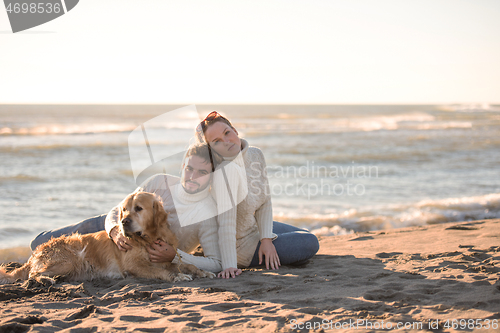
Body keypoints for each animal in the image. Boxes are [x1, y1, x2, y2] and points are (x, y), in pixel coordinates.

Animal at [0, 192, 215, 282]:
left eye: (138, 209)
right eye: (124, 209)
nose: (124, 222)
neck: (146, 239)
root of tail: (34, 254)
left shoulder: (162, 258)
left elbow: (186, 265)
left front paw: (202, 272)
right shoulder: (134, 265)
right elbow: (162, 272)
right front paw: (177, 277)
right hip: (70, 259)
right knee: (32, 274)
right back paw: (46, 280)